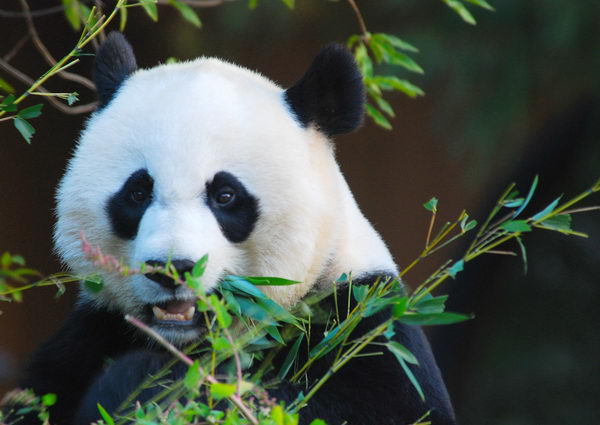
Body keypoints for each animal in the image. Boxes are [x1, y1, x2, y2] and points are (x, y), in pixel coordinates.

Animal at [5, 33, 454, 424]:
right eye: (137, 192)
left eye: (225, 195)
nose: (171, 269)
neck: (192, 341)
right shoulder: (95, 330)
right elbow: (39, 397)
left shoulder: (360, 316)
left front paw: (150, 385)